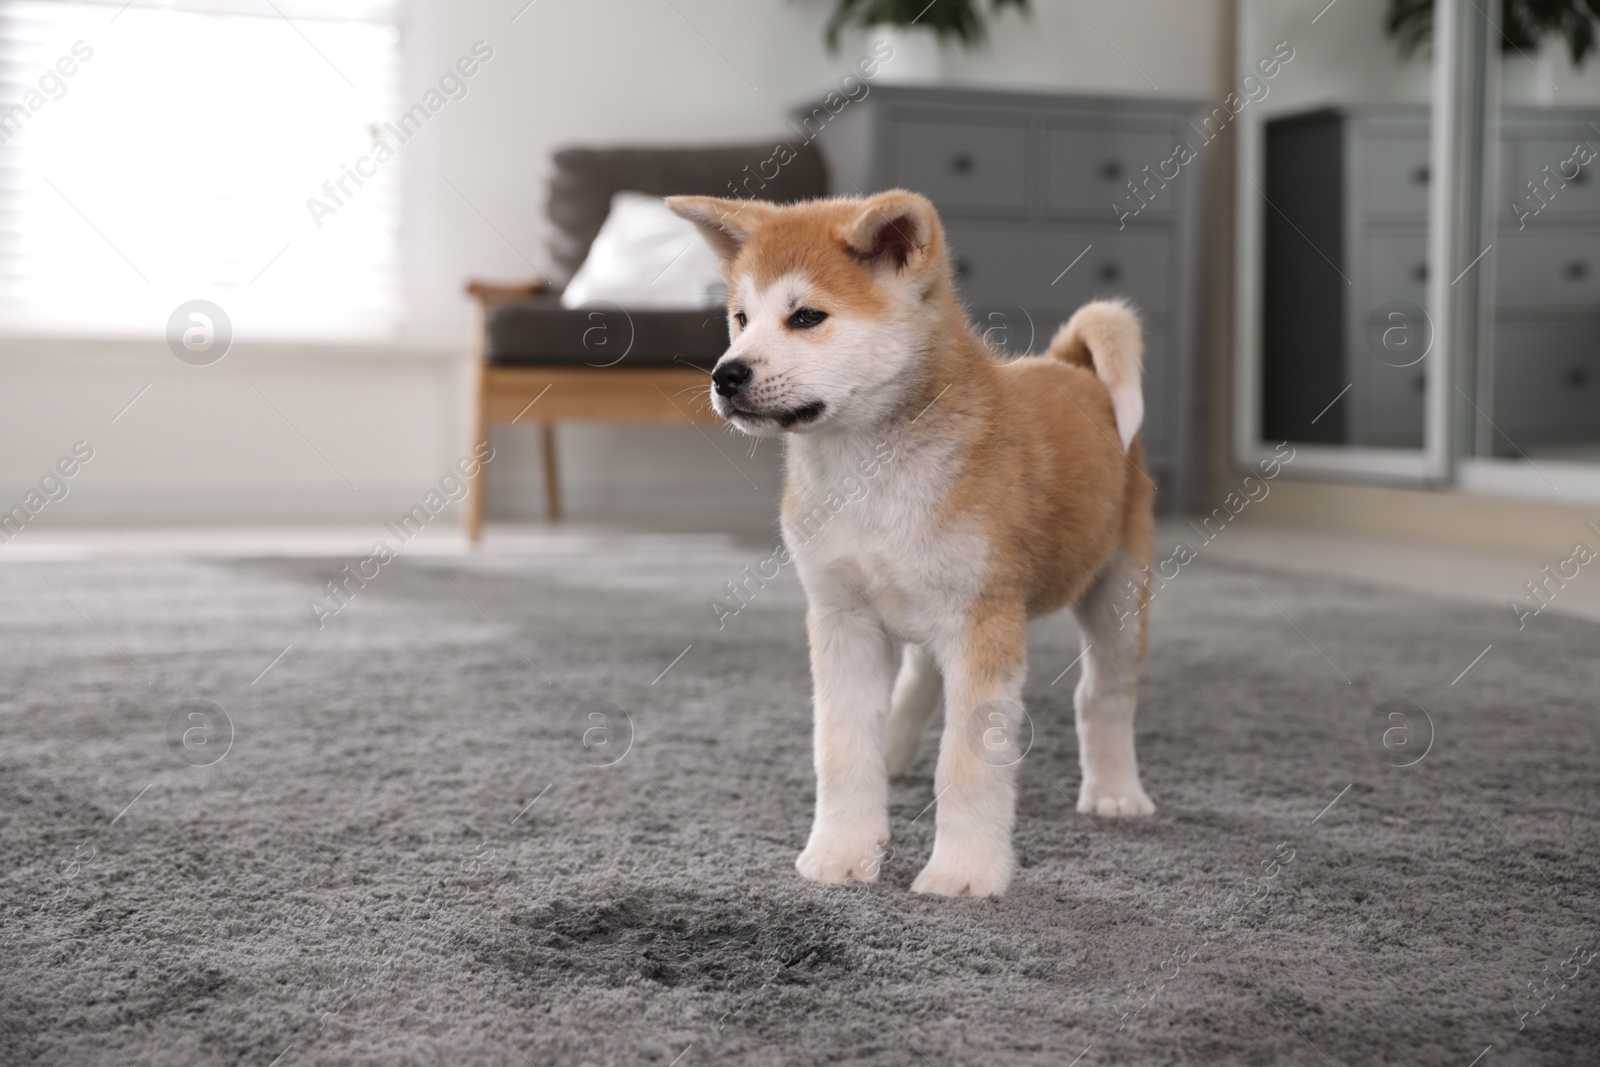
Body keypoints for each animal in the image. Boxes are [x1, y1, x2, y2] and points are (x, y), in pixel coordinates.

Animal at [668, 187, 1158, 895]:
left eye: (806, 317)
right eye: (740, 317)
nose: (725, 375)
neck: (869, 474)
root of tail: (1070, 367)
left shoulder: (982, 623)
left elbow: (967, 764)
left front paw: (964, 872)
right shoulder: (842, 617)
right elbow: (841, 748)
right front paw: (842, 852)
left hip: (1115, 590)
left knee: (1104, 695)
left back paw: (1116, 791)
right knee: (922, 677)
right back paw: (896, 750)